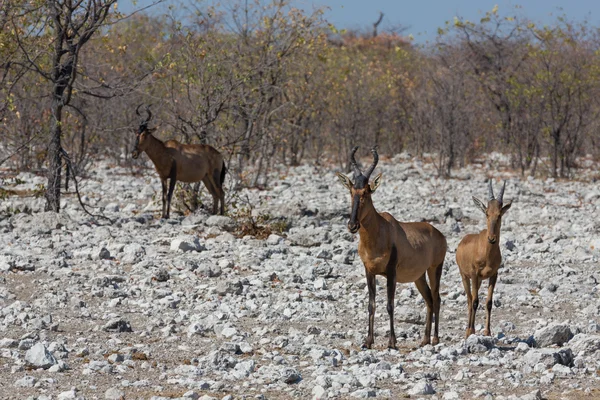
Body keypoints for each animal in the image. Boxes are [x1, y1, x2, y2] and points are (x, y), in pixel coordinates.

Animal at [336, 146, 448, 346]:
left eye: (367, 192)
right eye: (351, 190)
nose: (352, 225)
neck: (379, 232)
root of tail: (439, 234)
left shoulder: (391, 273)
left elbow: (390, 305)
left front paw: (392, 342)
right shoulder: (369, 271)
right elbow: (371, 305)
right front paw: (368, 341)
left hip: (435, 268)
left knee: (436, 298)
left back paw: (435, 339)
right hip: (419, 276)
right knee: (428, 299)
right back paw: (424, 340)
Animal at [458, 180, 512, 338]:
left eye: (499, 214)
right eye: (487, 213)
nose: (492, 239)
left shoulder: (493, 275)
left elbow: (489, 302)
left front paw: (487, 332)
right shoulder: (474, 274)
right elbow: (475, 301)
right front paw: (471, 331)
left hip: (480, 280)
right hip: (465, 277)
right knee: (470, 300)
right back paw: (468, 330)